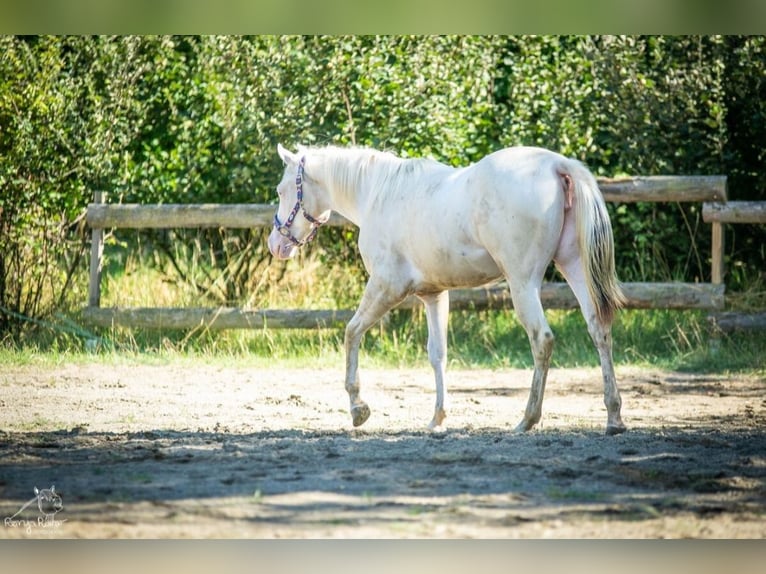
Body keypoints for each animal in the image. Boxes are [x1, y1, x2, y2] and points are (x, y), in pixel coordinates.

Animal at [270, 144, 632, 436]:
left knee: (542, 340)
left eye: (282, 190)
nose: (276, 245)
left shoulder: (386, 287)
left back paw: (527, 419)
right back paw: (613, 418)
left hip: (523, 282)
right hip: (574, 266)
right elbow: (437, 354)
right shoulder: (434, 295)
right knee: (599, 329)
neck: (378, 194)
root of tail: (557, 164)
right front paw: (438, 419)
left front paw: (359, 408)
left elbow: (351, 332)